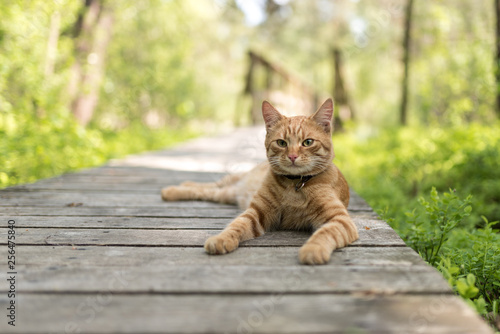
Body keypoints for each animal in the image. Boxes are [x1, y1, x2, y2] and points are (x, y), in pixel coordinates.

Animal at [161, 98, 360, 264]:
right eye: (281, 143)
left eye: (308, 142)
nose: (292, 156)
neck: (294, 185)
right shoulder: (257, 212)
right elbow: (236, 225)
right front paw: (221, 238)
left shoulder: (339, 220)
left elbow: (324, 233)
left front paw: (313, 250)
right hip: (231, 184)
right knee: (207, 186)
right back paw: (173, 190)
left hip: (226, 194)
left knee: (206, 191)